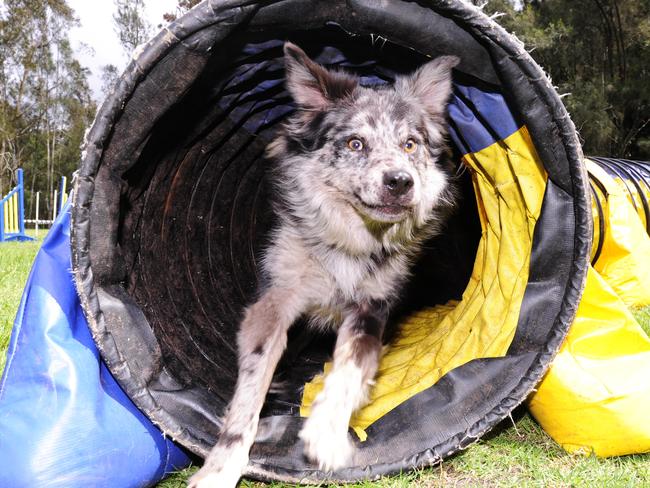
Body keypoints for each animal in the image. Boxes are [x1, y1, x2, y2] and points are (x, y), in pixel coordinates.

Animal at [190, 43, 458, 488]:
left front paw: (326, 433)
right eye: (355, 144)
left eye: (410, 144)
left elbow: (349, 369)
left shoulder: (371, 309)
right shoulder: (273, 302)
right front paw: (219, 468)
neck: (350, 240)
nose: (400, 182)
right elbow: (250, 391)